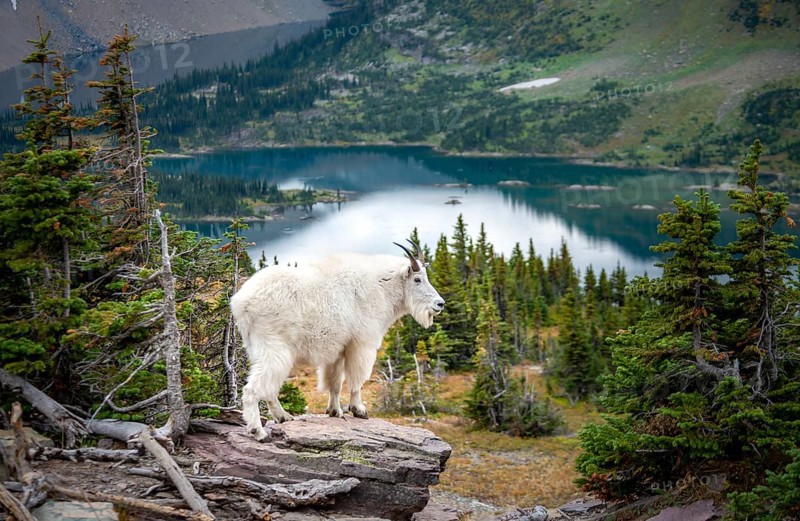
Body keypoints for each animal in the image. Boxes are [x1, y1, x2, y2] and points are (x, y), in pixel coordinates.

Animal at [231, 241, 444, 440]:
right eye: (417, 279)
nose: (439, 304)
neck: (382, 288)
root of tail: (241, 303)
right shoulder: (362, 344)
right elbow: (356, 379)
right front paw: (359, 410)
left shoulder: (338, 350)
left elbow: (335, 382)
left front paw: (334, 411)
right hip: (275, 348)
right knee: (253, 388)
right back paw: (258, 431)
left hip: (258, 349)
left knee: (269, 387)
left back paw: (284, 417)